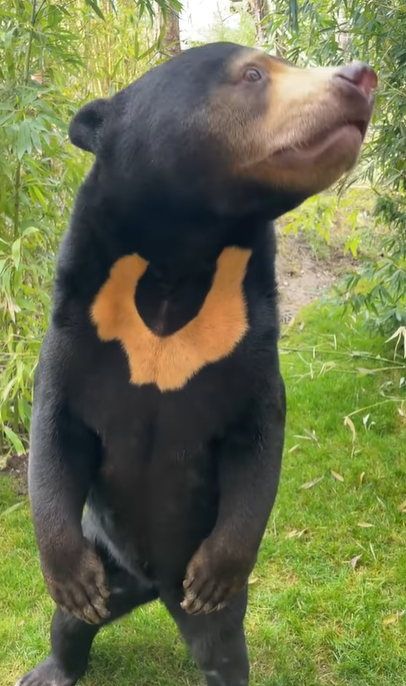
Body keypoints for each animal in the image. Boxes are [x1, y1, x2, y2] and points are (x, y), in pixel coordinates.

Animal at [16, 42, 376, 686]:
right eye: (254, 73)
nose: (362, 78)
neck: (181, 255)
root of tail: (150, 587)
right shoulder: (75, 329)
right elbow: (54, 431)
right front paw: (68, 576)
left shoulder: (250, 347)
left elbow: (259, 440)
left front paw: (216, 572)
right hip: (106, 556)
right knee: (71, 624)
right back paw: (54, 662)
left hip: (210, 613)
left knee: (224, 651)